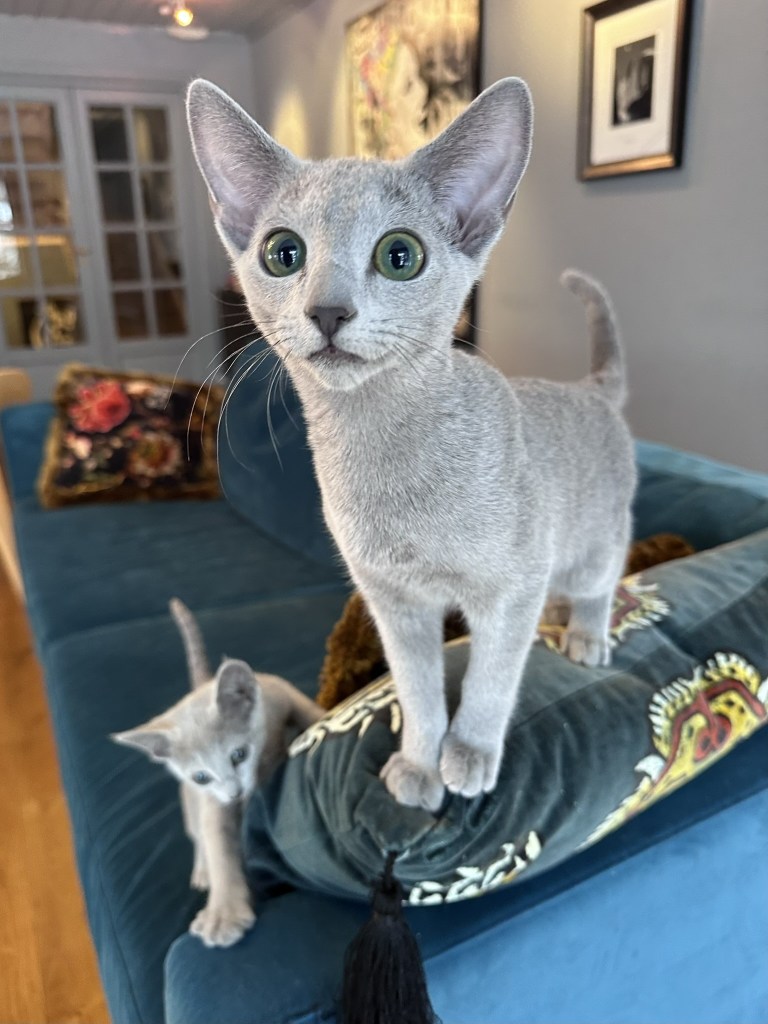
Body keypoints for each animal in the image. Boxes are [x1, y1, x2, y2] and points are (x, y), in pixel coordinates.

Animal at [112, 598, 322, 946]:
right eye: (201, 776)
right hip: (189, 802)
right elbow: (218, 845)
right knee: (197, 834)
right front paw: (224, 914)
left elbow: (307, 709)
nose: (236, 793)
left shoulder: (279, 690)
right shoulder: (212, 800)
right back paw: (202, 871)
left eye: (239, 755)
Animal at [185, 78, 637, 814]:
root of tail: (592, 389)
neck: (378, 447)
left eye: (400, 255)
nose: (328, 309)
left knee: (597, 582)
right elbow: (420, 692)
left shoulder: (510, 588)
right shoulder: (394, 605)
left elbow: (490, 680)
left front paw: (470, 754)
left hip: (593, 541)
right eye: (284, 253)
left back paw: (585, 634)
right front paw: (421, 763)